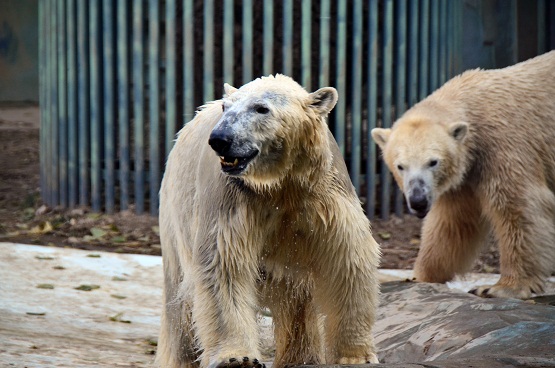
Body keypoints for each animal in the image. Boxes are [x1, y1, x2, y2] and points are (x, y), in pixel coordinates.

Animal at [156, 75, 382, 368]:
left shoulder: (322, 194)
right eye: (226, 107)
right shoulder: (233, 199)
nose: (220, 139)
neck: (279, 184)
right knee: (180, 303)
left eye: (261, 108)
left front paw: (355, 355)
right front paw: (236, 358)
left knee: (297, 302)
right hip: (175, 218)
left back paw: (301, 358)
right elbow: (224, 263)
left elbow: (347, 260)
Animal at [372, 51, 555, 300]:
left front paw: (501, 287)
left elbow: (521, 208)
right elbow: (453, 223)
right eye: (401, 166)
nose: (418, 201)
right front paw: (418, 276)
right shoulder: (465, 175)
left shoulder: (504, 145)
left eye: (433, 162)